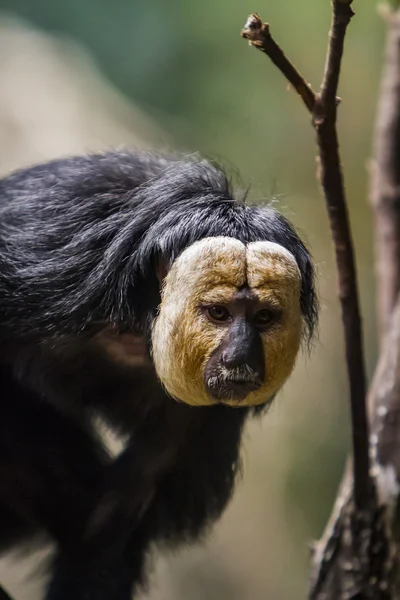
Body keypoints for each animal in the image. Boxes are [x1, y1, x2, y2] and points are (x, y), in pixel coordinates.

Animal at [0, 151, 318, 600]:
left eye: (263, 317)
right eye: (219, 313)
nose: (240, 356)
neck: (139, 322)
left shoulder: (203, 415)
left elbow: (112, 518)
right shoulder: (48, 265)